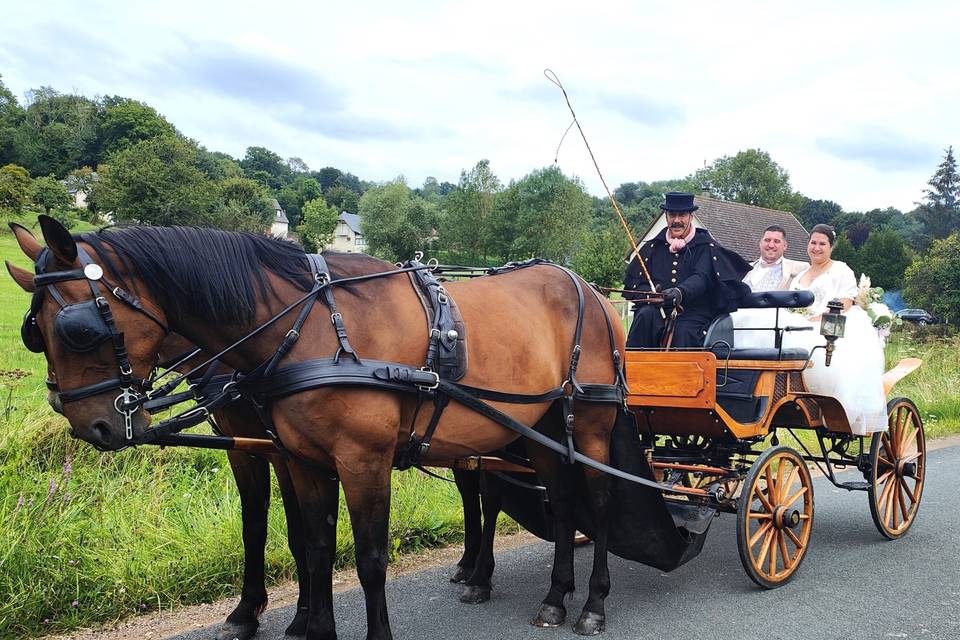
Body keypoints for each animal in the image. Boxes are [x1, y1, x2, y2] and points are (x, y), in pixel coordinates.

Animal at [11, 218, 628, 636]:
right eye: (33, 332)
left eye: (76, 330)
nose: (90, 425)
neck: (302, 330)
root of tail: (593, 291)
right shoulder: (296, 457)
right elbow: (309, 542)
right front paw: (302, 622)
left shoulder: (362, 462)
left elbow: (369, 559)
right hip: (533, 429)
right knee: (558, 499)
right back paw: (552, 594)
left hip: (590, 426)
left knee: (597, 504)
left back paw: (592, 604)